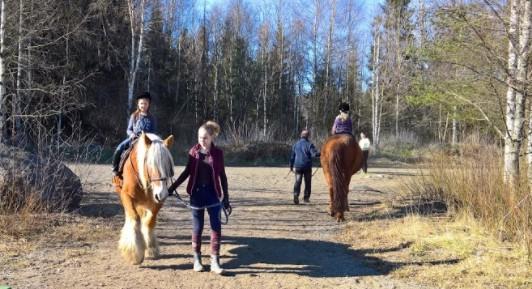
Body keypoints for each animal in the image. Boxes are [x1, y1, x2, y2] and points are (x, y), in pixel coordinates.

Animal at [111, 132, 175, 264]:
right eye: (150, 164)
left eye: (168, 165)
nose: (162, 194)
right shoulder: (126, 196)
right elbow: (134, 218)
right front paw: (134, 253)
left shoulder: (157, 202)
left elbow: (149, 221)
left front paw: (151, 248)